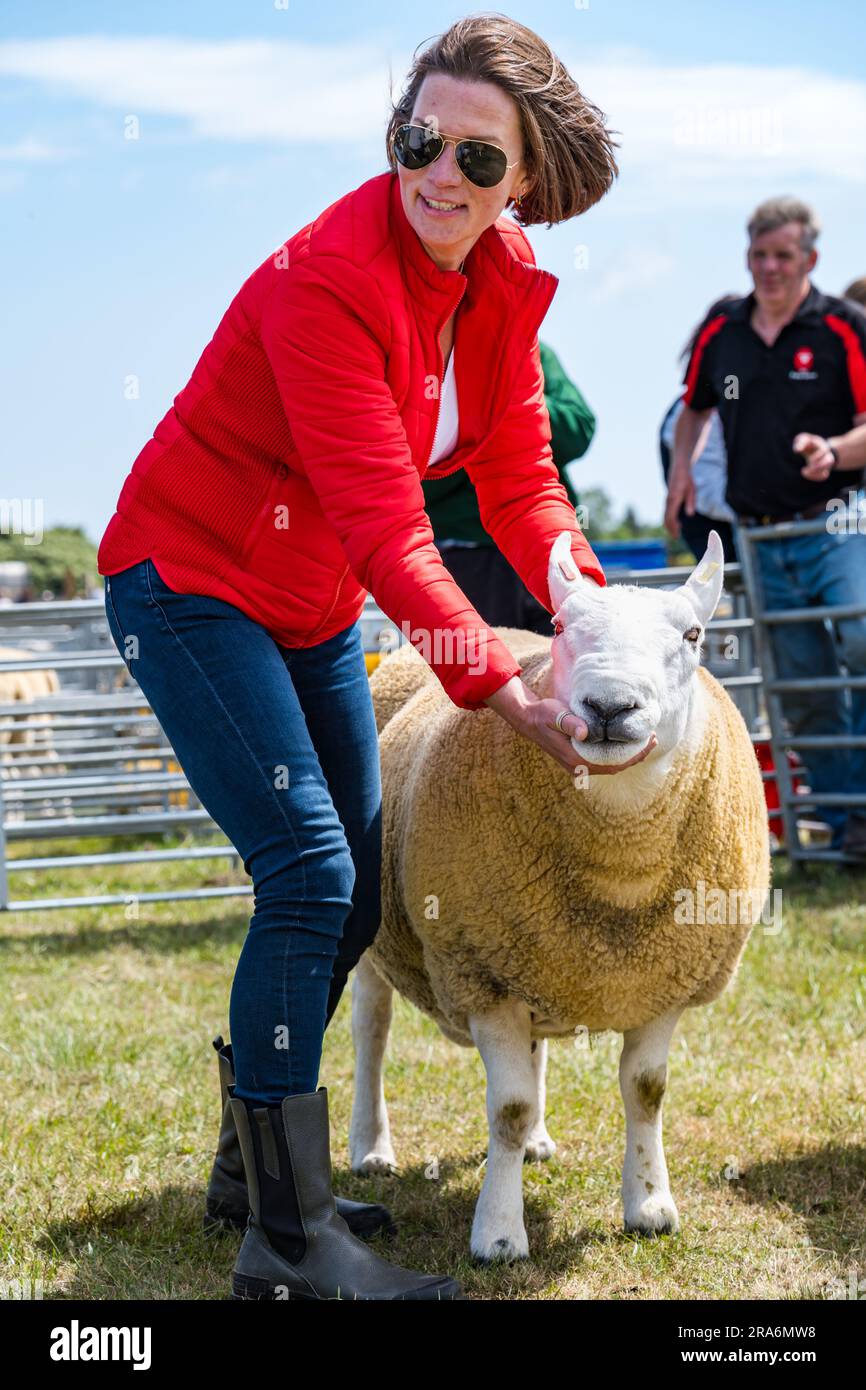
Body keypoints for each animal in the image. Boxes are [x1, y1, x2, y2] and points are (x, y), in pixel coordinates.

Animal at [348, 522, 767, 1262]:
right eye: (561, 625)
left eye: (693, 635)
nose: (608, 707)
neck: (621, 868)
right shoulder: (480, 974)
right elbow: (506, 1109)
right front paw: (499, 1233)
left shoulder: (665, 981)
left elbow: (646, 1091)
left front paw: (649, 1204)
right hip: (383, 935)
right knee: (372, 1029)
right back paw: (372, 1147)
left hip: (539, 953)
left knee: (536, 1048)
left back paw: (540, 1143)